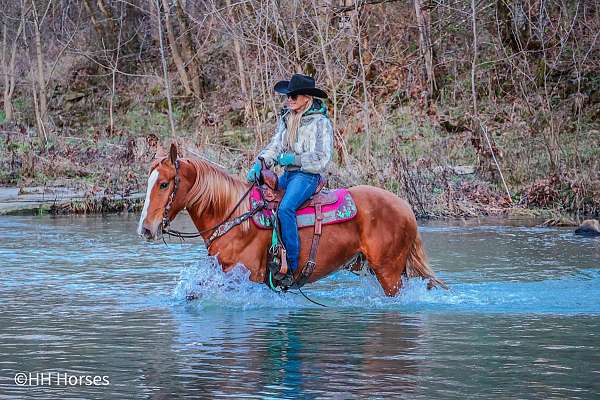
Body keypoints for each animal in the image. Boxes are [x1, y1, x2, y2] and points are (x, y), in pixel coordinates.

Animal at [137, 142, 446, 296]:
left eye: (164, 184)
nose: (146, 229)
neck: (234, 215)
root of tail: (406, 207)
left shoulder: (246, 276)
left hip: (389, 273)